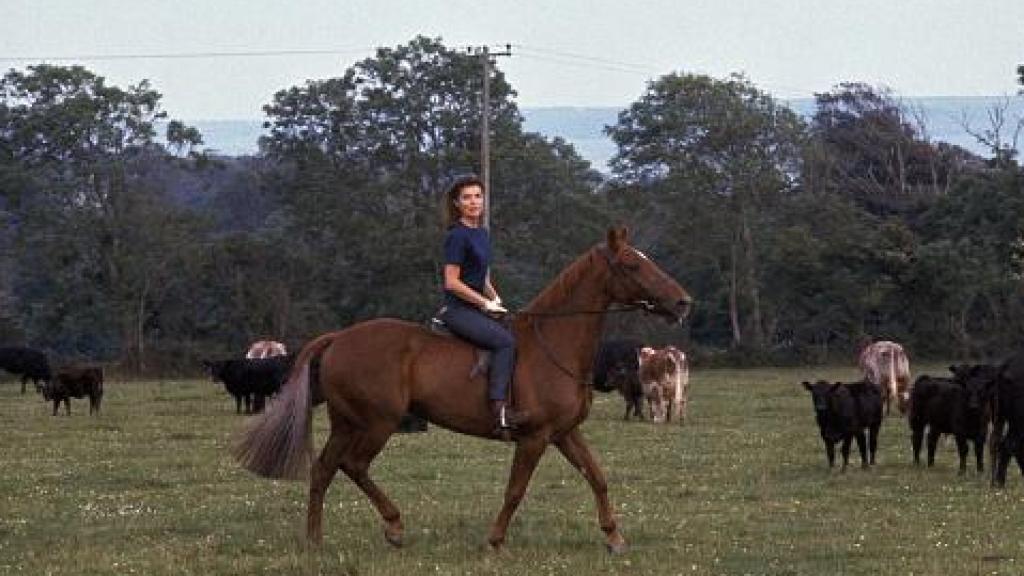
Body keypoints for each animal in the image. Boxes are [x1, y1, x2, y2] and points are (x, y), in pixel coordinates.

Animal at [232, 227, 692, 553]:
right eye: (632, 265)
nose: (683, 302)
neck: (553, 343)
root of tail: (339, 338)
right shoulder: (535, 437)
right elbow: (515, 490)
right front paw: (495, 541)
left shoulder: (564, 432)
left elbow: (597, 478)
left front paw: (614, 537)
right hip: (378, 422)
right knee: (353, 465)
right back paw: (393, 527)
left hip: (348, 421)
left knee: (325, 469)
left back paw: (316, 539)